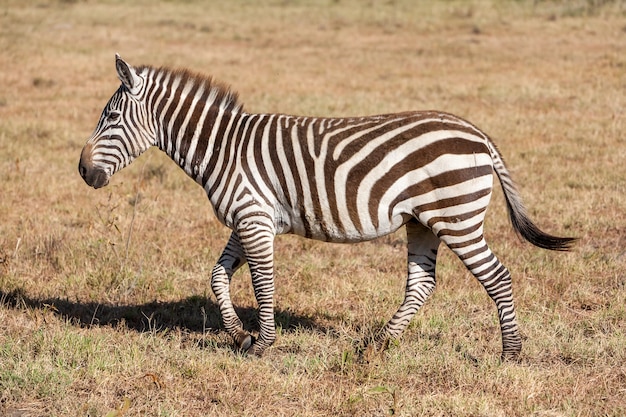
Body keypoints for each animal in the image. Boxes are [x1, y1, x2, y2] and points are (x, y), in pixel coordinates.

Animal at [79, 55, 576, 360]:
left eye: (112, 118)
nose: (83, 172)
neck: (222, 147)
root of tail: (477, 133)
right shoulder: (248, 218)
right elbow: (219, 277)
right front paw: (240, 335)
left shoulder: (254, 218)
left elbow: (262, 284)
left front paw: (264, 344)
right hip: (422, 222)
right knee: (422, 283)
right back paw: (376, 345)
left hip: (456, 217)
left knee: (498, 277)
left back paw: (509, 353)